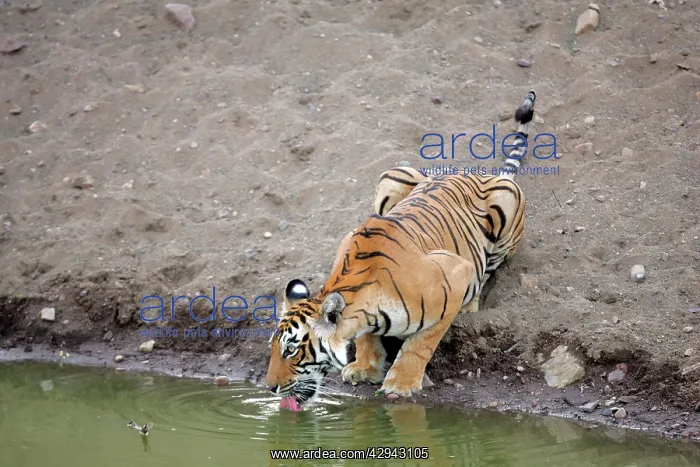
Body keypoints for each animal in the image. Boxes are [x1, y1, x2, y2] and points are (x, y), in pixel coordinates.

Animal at [265, 90, 537, 412]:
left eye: (291, 349)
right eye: (273, 347)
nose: (269, 387)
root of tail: (475, 173)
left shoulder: (456, 272)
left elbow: (421, 344)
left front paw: (401, 384)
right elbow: (367, 337)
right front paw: (365, 368)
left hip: (507, 202)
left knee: (487, 272)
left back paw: (470, 305)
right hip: (392, 175)